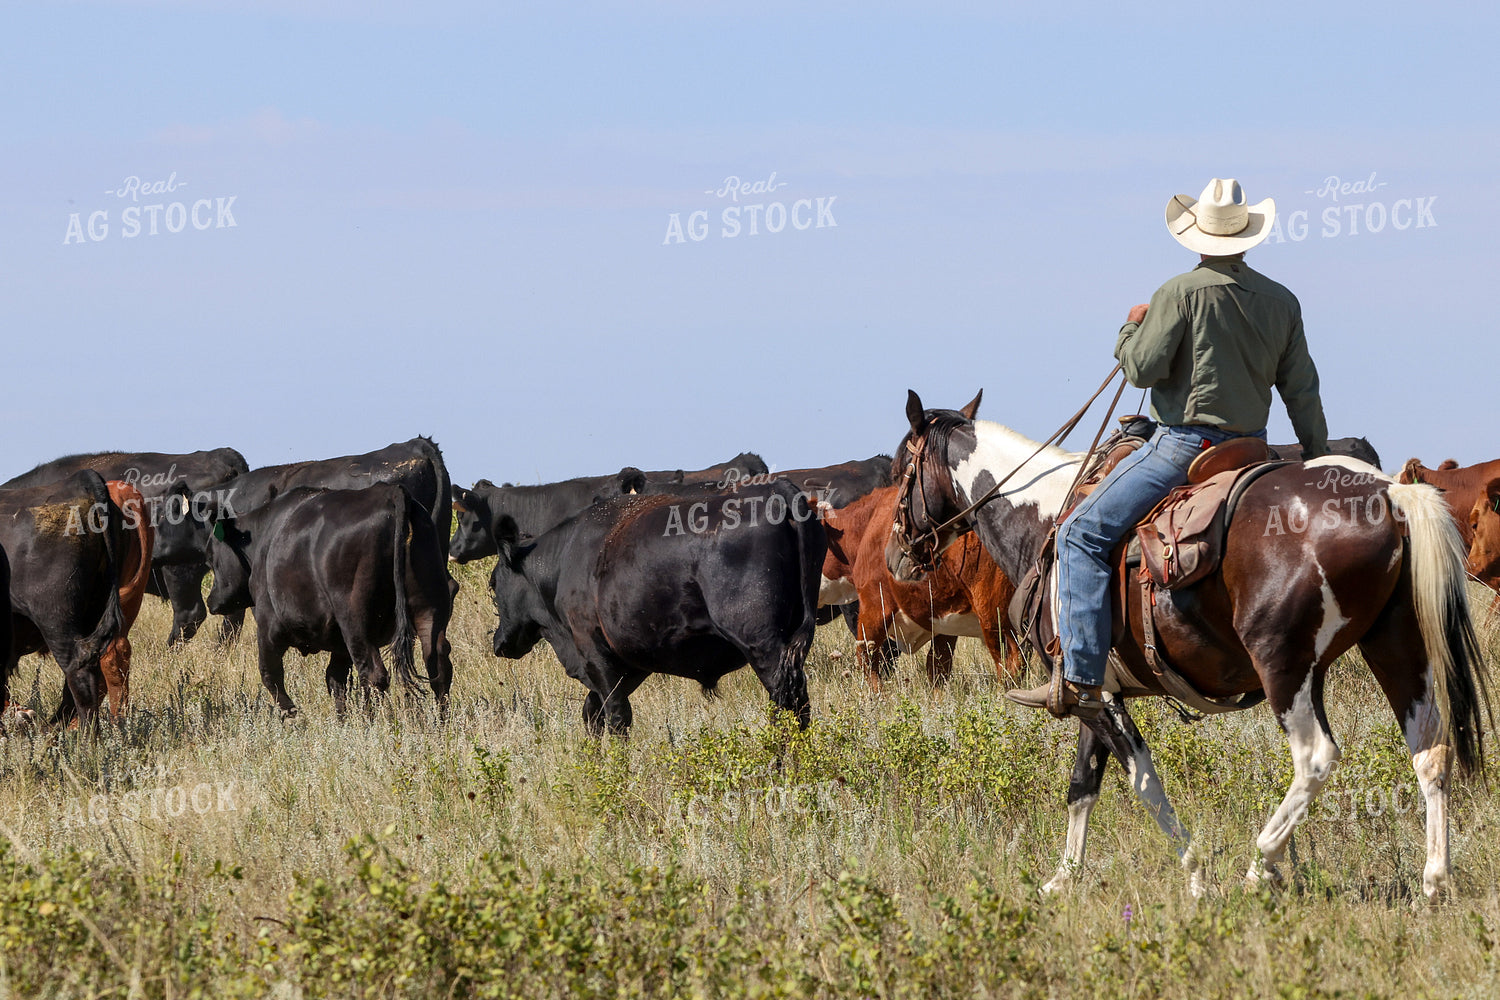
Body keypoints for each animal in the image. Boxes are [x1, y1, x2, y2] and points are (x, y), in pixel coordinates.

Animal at [204, 484, 454, 718]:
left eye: (211, 554)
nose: (211, 600)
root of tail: (388, 492)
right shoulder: (339, 644)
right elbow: (336, 681)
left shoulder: (267, 626)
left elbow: (270, 675)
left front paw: (294, 719)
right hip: (429, 606)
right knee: (438, 664)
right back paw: (442, 724)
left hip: (355, 620)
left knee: (373, 674)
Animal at [489, 479, 824, 734]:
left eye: (493, 584)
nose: (498, 641)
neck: (564, 560)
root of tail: (776, 491)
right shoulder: (630, 661)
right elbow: (593, 710)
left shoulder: (593, 649)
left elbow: (616, 715)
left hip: (762, 645)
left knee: (786, 705)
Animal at [821, 485, 1024, 688]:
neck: (867, 527)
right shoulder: (943, 617)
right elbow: (938, 666)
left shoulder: (873, 605)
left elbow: (868, 660)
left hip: (992, 612)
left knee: (1010, 661)